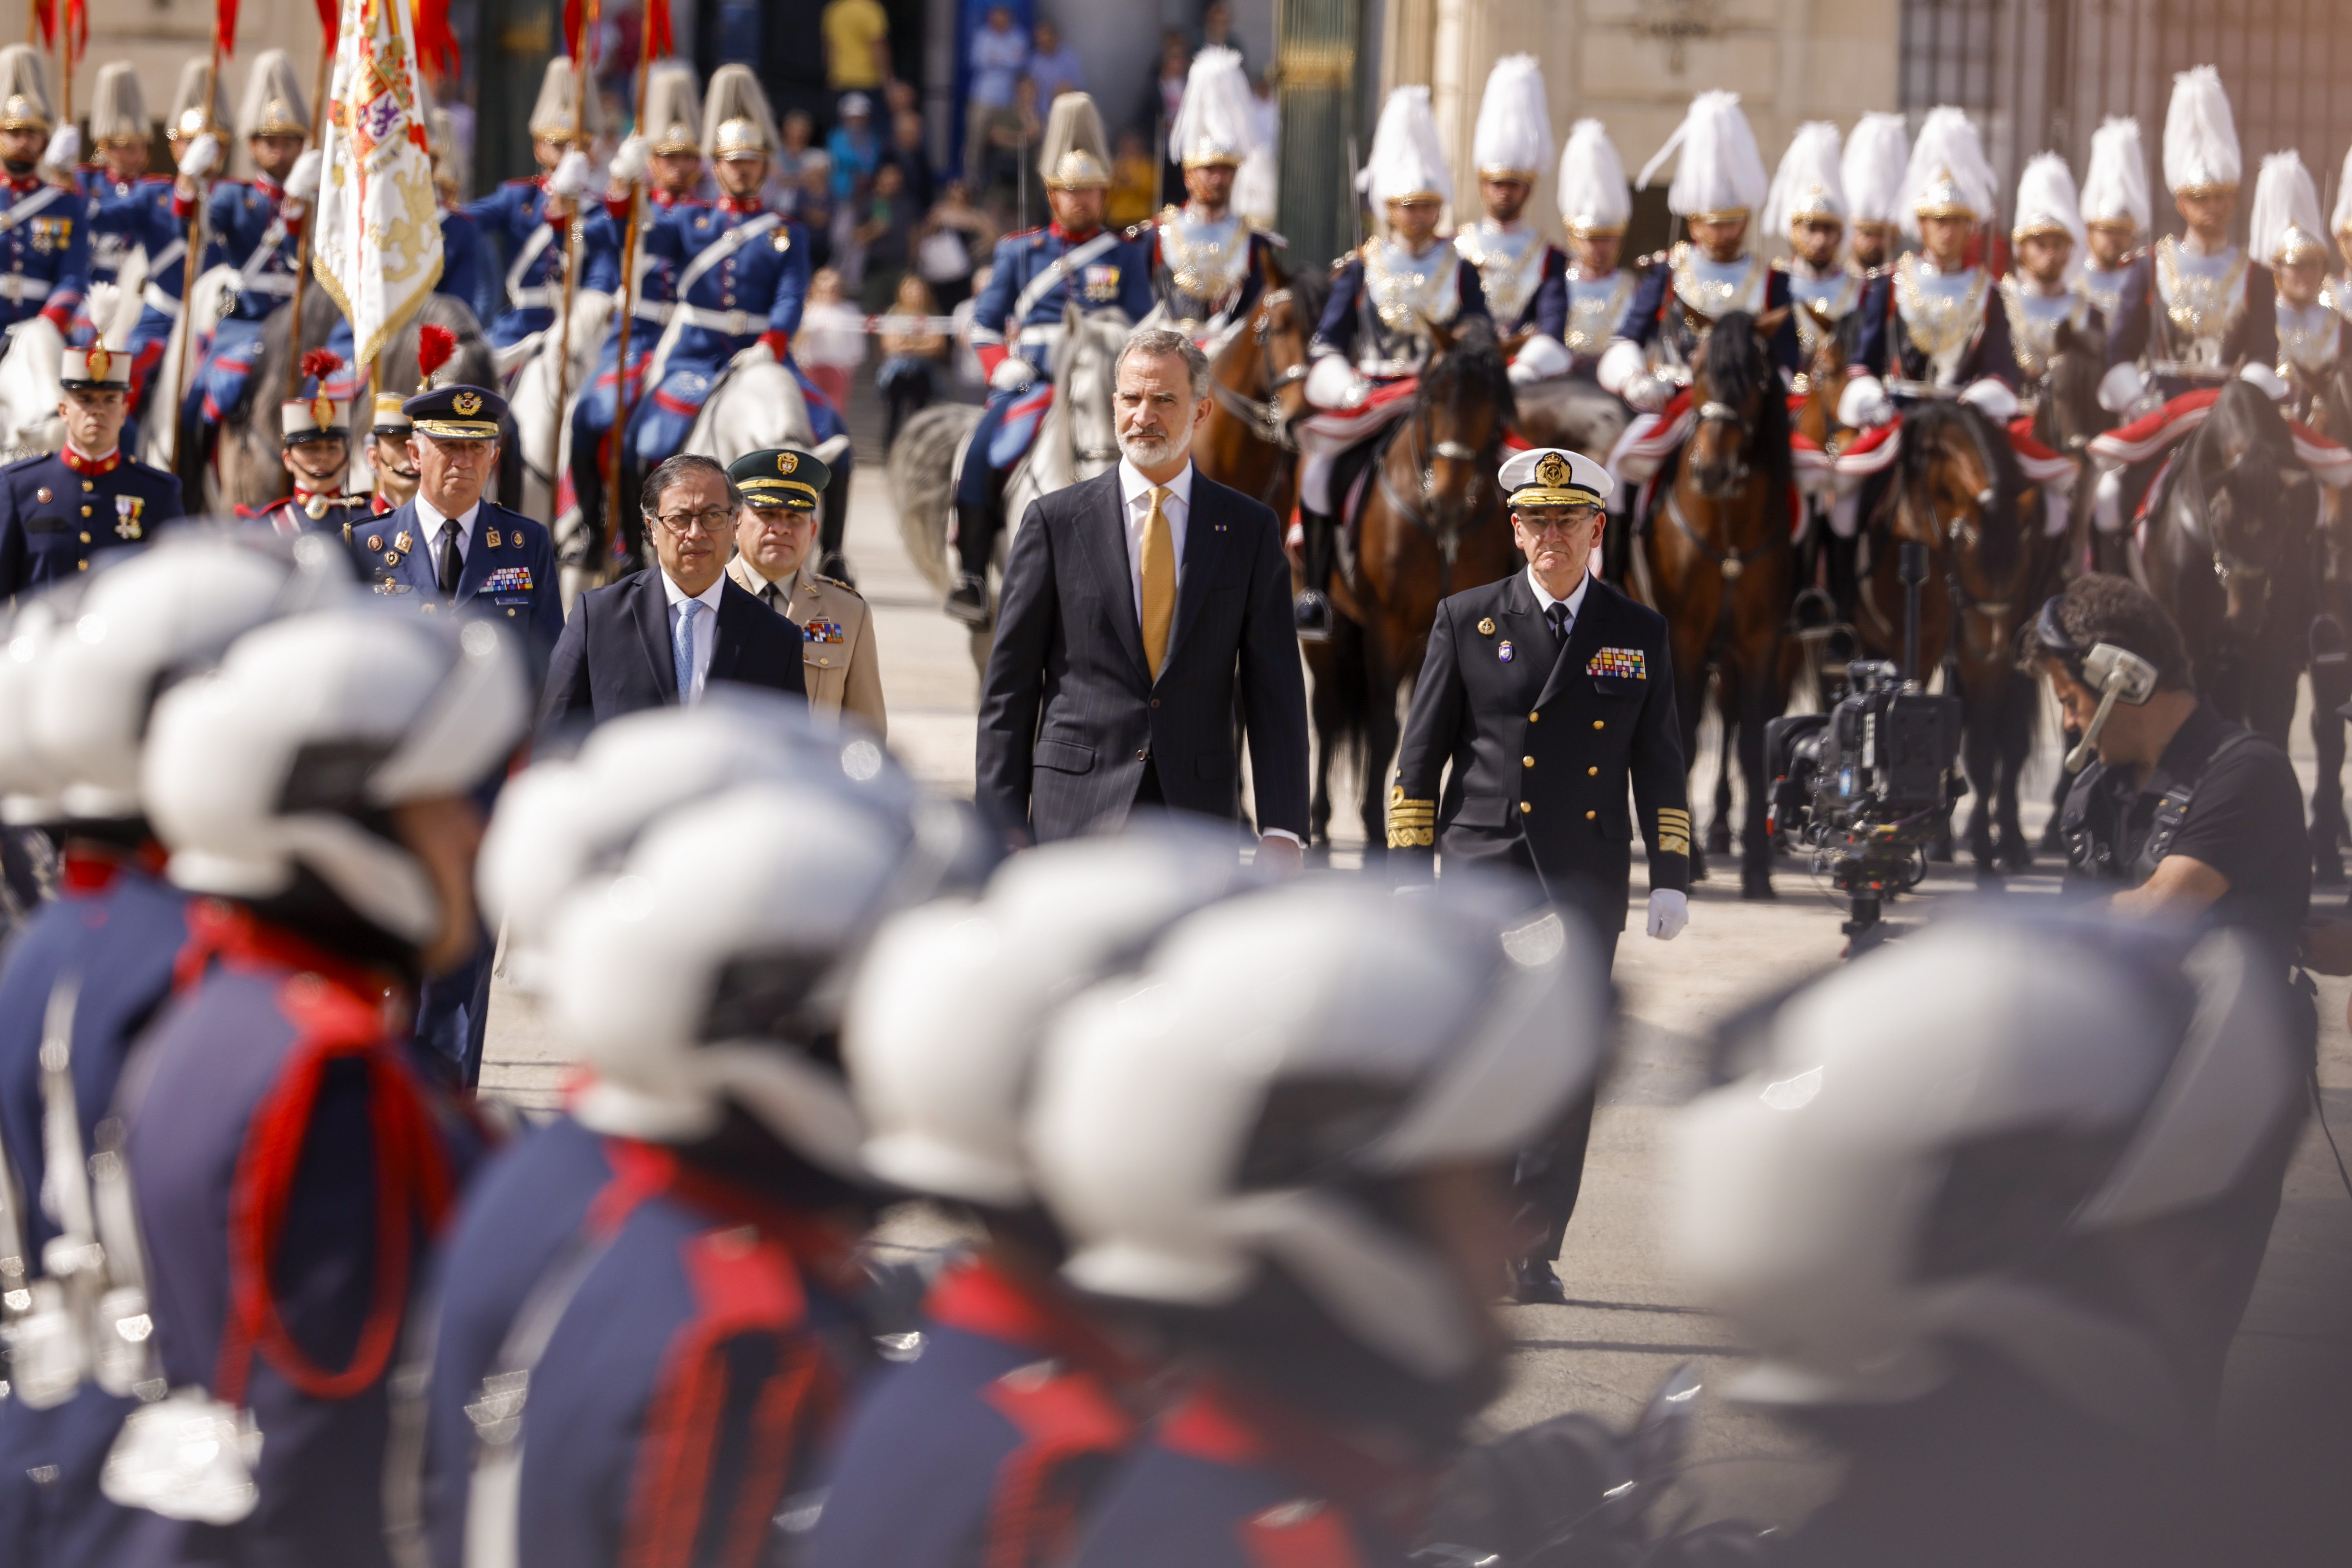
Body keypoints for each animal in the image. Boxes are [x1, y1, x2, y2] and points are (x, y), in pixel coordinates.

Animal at [1298, 317, 1515, 851]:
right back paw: (1320, 821)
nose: (1449, 499)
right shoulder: (1386, 629)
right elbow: (1383, 725)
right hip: (1329, 633)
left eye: (1497, 406)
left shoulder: (1440, 634)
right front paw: (1380, 832)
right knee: (1327, 713)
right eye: (1433, 397)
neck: (1441, 532)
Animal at [1637, 310, 1797, 893]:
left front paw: (1757, 870)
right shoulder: (1682, 636)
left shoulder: (1761, 641)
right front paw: (1685, 862)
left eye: (1755, 377)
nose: (1711, 469)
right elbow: (1680, 734)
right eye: (1700, 368)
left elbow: (1753, 742)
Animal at [1853, 399, 2060, 879]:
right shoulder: (1906, 650)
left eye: (2024, 562)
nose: (1997, 644)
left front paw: (1986, 849)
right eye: (1967, 555)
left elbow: (1982, 752)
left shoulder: (1980, 663)